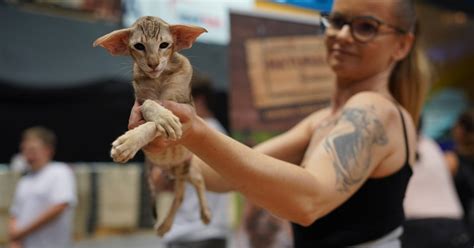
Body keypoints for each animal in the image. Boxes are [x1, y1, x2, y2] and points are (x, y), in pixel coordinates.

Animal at [93, 15, 210, 236]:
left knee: (195, 183)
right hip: (174, 172)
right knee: (182, 192)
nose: (153, 64)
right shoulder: (139, 102)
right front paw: (160, 118)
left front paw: (129, 142)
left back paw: (202, 214)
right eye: (139, 46)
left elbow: (154, 123)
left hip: (186, 166)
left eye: (164, 45)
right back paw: (166, 224)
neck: (160, 79)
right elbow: (149, 104)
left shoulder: (184, 107)